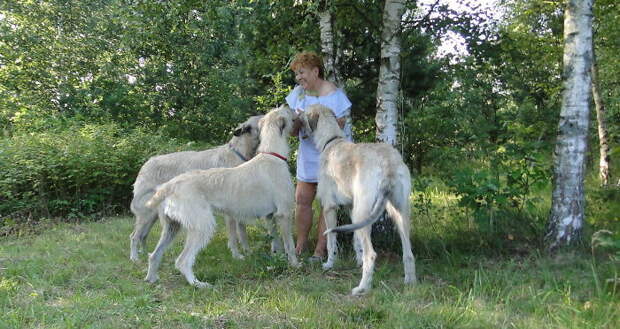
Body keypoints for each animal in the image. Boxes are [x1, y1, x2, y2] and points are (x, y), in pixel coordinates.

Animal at [130, 115, 268, 262]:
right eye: (263, 118)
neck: (239, 152)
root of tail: (145, 164)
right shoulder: (229, 212)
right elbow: (233, 236)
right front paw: (236, 255)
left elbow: (242, 232)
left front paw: (248, 251)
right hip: (146, 213)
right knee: (134, 236)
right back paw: (135, 258)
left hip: (153, 214)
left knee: (143, 236)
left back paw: (145, 254)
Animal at [145, 105, 300, 288]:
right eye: (283, 111)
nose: (287, 105)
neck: (271, 154)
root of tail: (169, 186)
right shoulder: (284, 213)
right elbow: (289, 244)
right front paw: (295, 264)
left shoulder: (270, 216)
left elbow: (276, 240)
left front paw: (279, 257)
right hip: (202, 225)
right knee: (182, 261)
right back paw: (198, 284)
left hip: (171, 227)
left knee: (154, 254)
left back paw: (152, 279)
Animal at [302, 104, 416, 294]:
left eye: (302, 114)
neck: (331, 141)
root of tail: (387, 163)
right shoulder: (351, 206)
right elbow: (356, 240)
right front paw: (357, 261)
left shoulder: (329, 207)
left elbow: (331, 241)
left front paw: (329, 264)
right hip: (397, 212)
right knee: (408, 251)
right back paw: (409, 281)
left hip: (362, 212)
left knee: (371, 254)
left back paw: (362, 287)